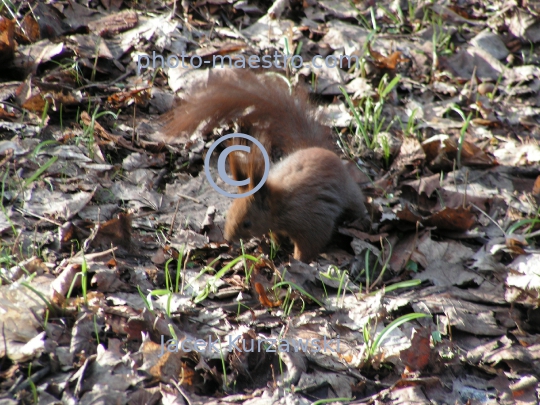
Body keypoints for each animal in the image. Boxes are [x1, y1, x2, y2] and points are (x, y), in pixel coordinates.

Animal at [162, 68, 370, 262]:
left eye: (247, 223)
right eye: (229, 213)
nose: (228, 239)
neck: (279, 206)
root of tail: (316, 149)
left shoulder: (310, 220)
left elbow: (310, 244)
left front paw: (297, 260)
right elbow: (277, 235)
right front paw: (275, 248)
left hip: (348, 191)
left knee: (356, 204)